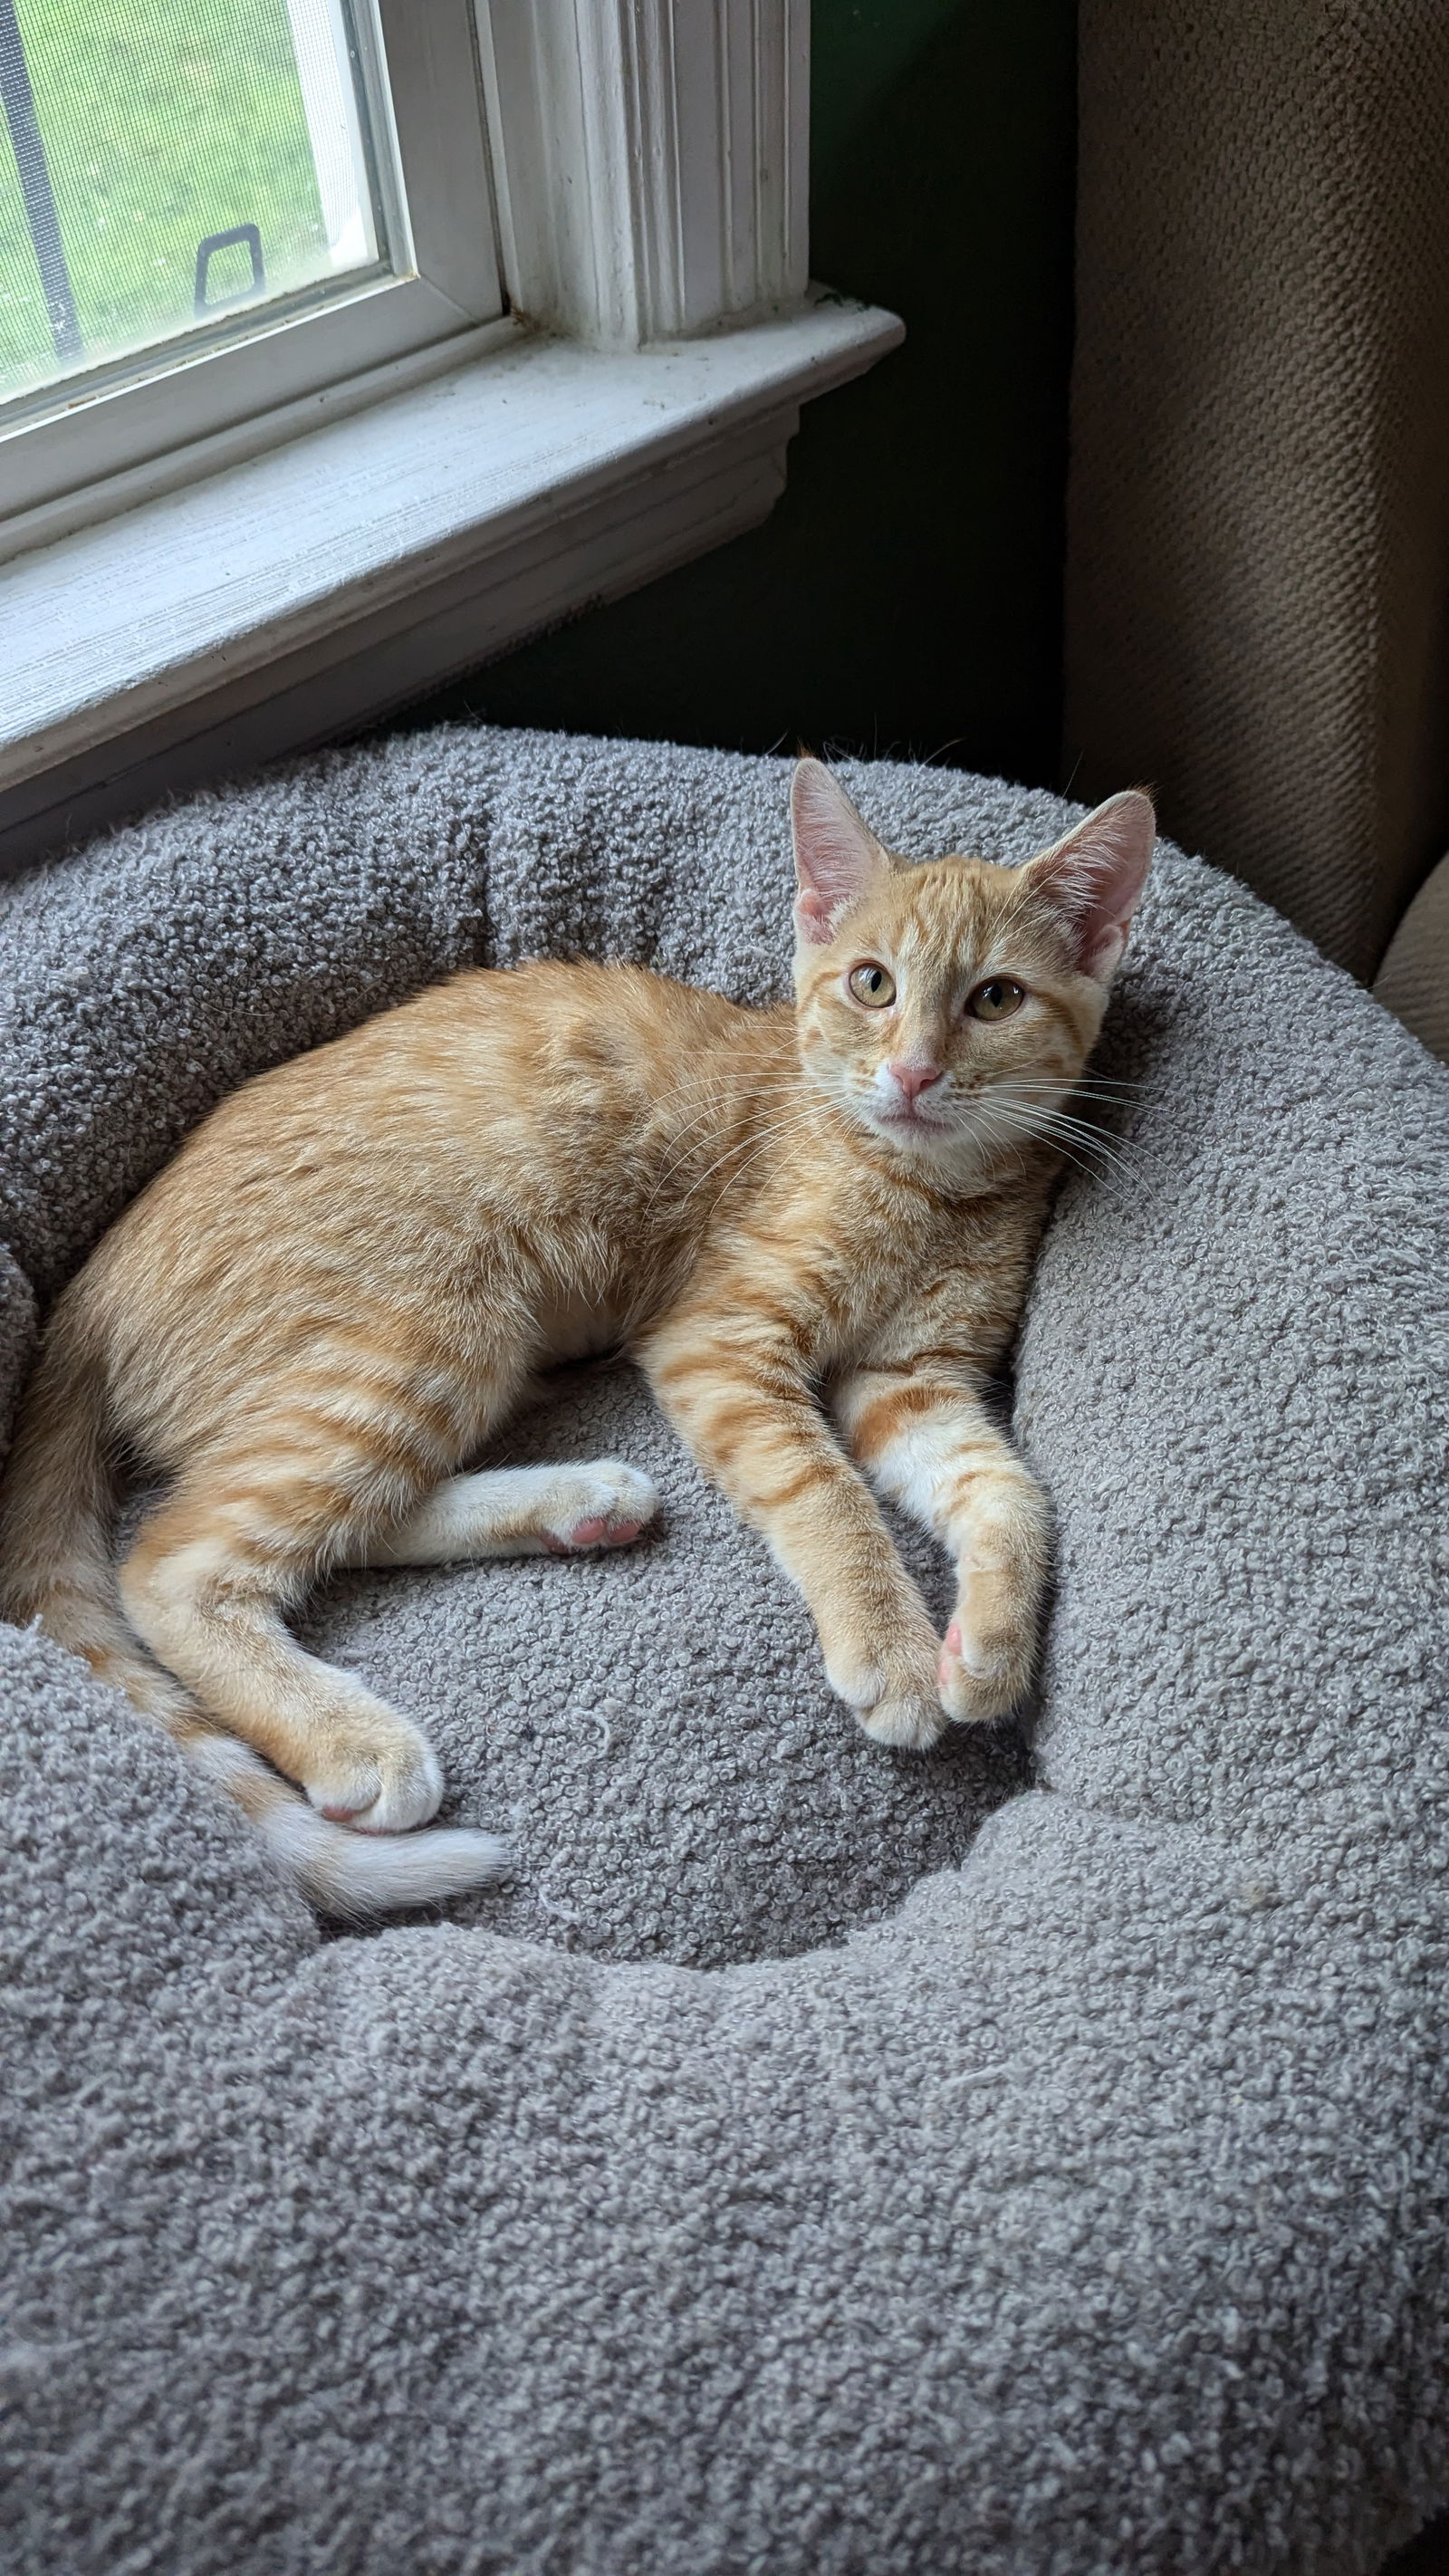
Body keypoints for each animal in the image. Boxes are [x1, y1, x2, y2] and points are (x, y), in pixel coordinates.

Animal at [0, 752, 1157, 1906]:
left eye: (995, 998)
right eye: (871, 983)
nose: (914, 1073)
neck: (923, 1186)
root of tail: (89, 1288)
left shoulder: (909, 1381)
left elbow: (1006, 1491)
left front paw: (990, 1648)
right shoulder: (718, 1338)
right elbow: (824, 1490)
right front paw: (892, 1648)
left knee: (341, 1522)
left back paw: (578, 1505)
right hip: (432, 1330)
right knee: (175, 1561)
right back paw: (350, 1736)